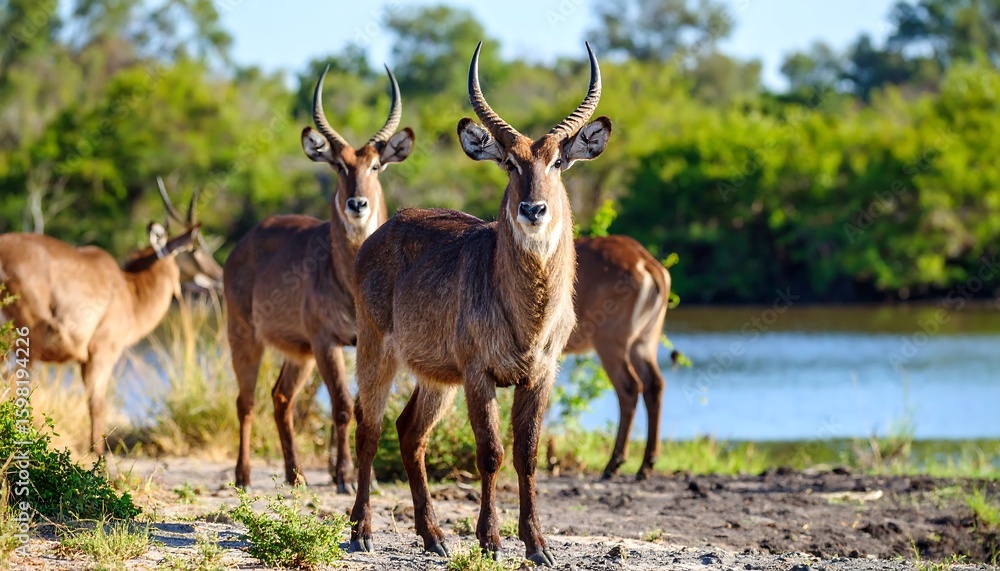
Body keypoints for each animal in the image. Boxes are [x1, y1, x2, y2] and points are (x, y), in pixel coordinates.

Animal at [0, 187, 219, 453]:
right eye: (194, 248)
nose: (219, 274)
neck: (129, 290)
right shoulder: (101, 353)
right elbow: (97, 402)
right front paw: (98, 453)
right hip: (26, 345)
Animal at [224, 65, 414, 491]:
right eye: (339, 166)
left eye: (375, 166)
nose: (357, 203)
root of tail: (244, 241)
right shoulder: (327, 340)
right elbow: (342, 407)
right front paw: (344, 476)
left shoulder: (362, 342)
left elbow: (362, 407)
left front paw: (357, 475)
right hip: (246, 336)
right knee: (246, 401)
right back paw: (243, 476)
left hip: (299, 352)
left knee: (281, 398)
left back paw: (295, 475)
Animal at [349, 42, 611, 566]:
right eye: (509, 162)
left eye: (557, 162)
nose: (533, 209)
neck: (529, 316)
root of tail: (382, 231)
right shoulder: (478, 373)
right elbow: (490, 453)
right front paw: (490, 540)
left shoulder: (541, 373)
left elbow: (527, 454)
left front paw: (537, 545)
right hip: (377, 351)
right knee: (368, 428)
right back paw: (361, 531)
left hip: (437, 376)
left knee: (409, 431)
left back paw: (433, 536)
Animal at [567, 234, 675, 480]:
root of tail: (645, 260)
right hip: (645, 341)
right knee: (654, 384)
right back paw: (646, 465)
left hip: (610, 341)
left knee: (629, 387)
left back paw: (613, 464)